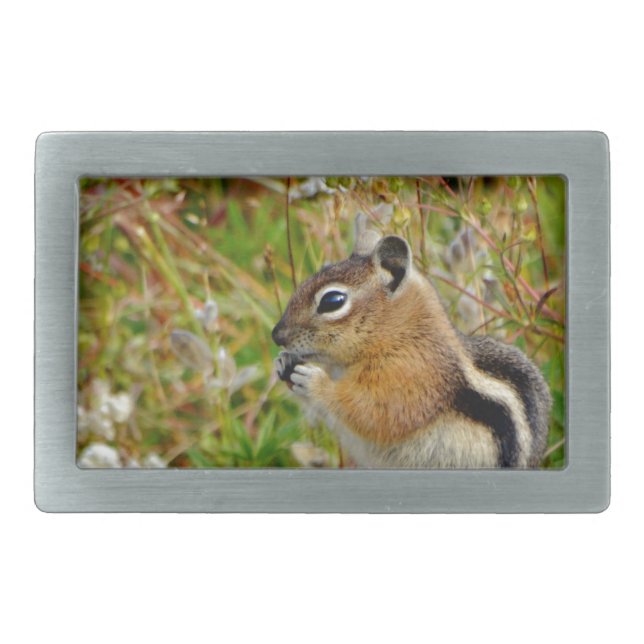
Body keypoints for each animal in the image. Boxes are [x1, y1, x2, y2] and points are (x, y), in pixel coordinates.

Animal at [272, 215, 552, 468]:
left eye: (332, 301)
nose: (276, 335)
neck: (400, 334)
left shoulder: (410, 375)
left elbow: (371, 411)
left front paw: (315, 382)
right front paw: (283, 362)